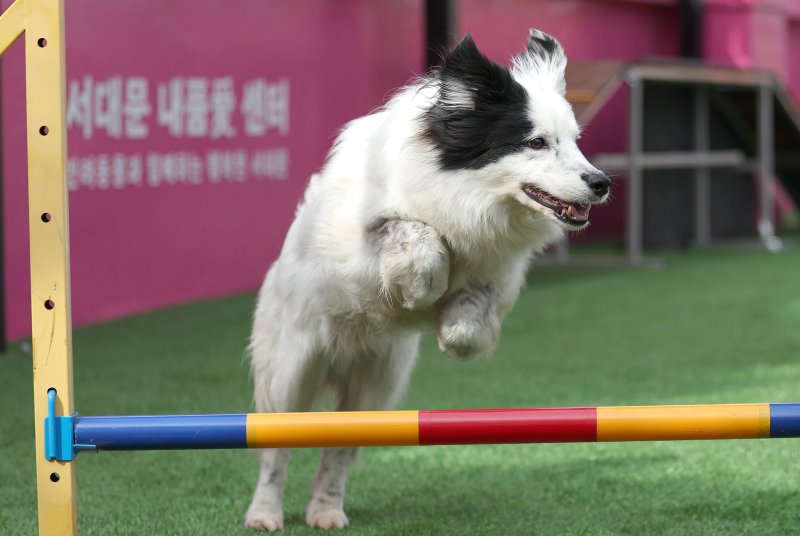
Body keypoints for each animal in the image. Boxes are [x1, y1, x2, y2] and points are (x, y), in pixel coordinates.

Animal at [247, 30, 608, 532]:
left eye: (575, 141)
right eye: (535, 143)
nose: (602, 183)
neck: (469, 196)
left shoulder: (497, 270)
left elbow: (474, 307)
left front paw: (457, 336)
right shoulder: (365, 241)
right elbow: (418, 236)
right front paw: (422, 289)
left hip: (375, 387)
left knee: (338, 447)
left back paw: (326, 511)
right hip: (291, 368)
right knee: (276, 448)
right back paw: (264, 513)